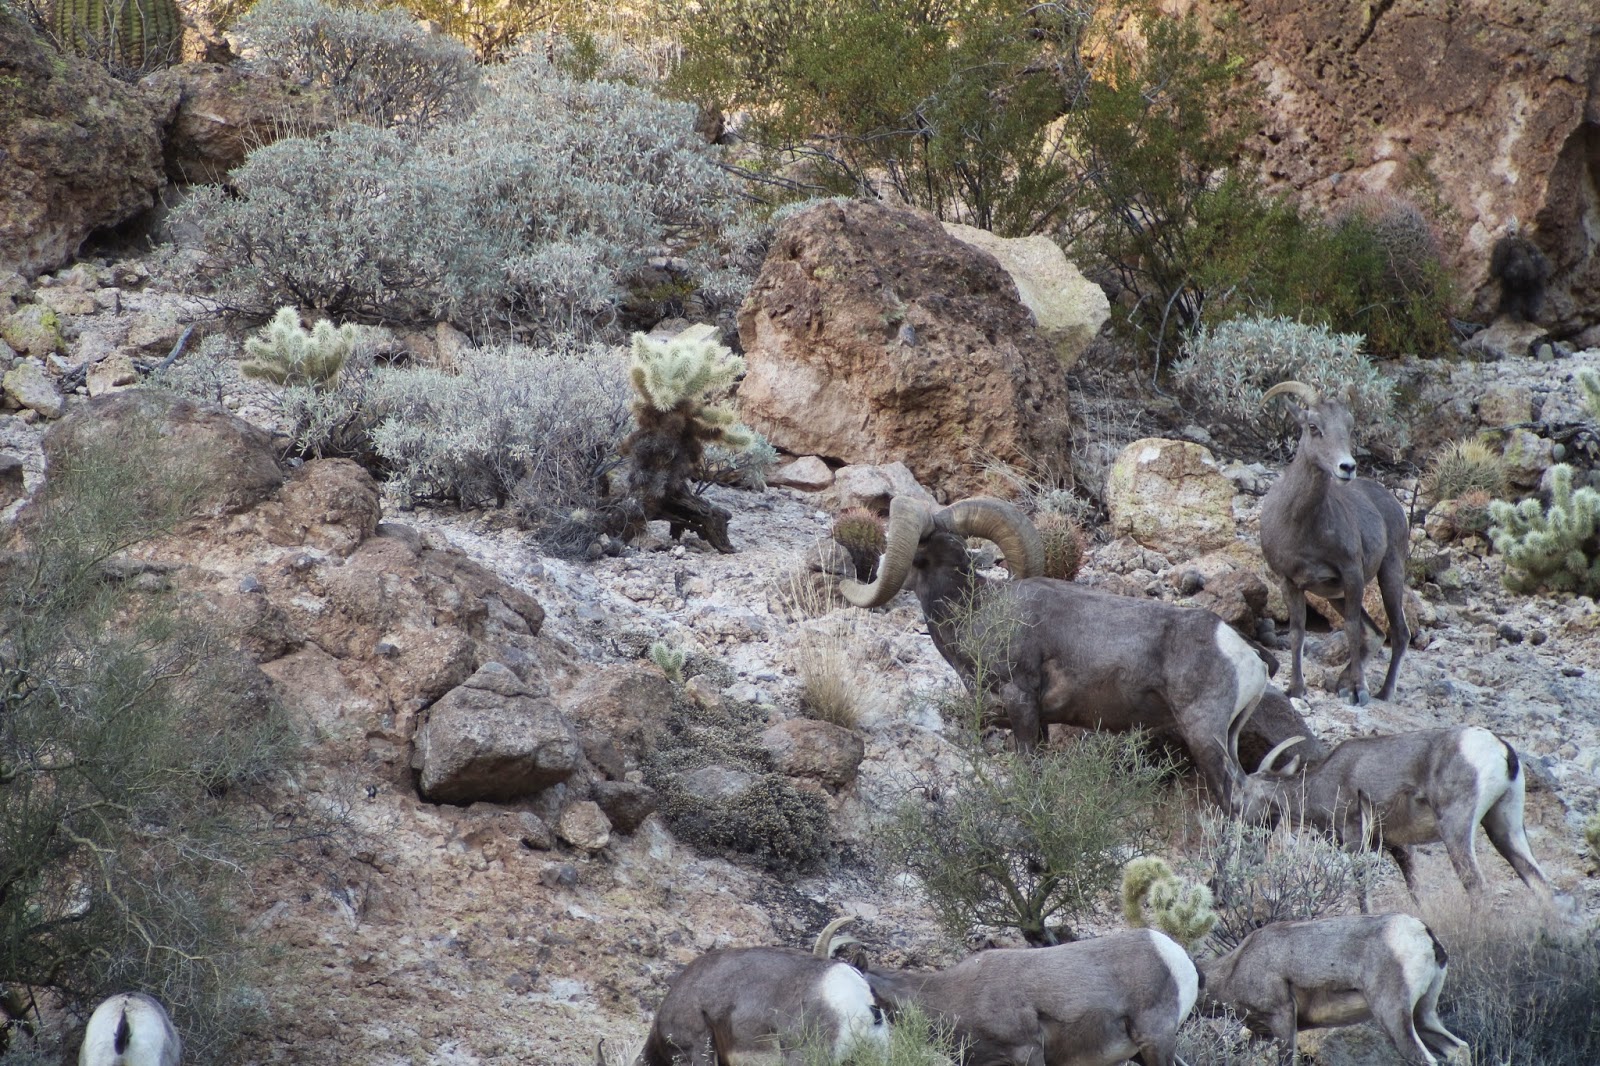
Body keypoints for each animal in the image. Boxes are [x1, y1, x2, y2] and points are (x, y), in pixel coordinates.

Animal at [1198, 914, 1468, 1066]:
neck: (1234, 968)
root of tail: (1422, 932)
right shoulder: (1259, 1033)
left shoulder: (1283, 1020)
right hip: (1423, 1016)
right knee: (1459, 1049)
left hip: (1393, 1018)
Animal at [1240, 726, 1552, 904]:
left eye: (1240, 797)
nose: (1245, 839)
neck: (1322, 783)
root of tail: (1501, 749)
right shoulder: (1401, 847)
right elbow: (1416, 893)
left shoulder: (1356, 841)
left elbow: (1363, 895)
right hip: (1506, 828)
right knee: (1540, 885)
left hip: (1456, 830)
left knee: (1476, 886)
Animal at [1258, 381, 1409, 707]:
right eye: (1313, 427)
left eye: (1349, 427)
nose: (1347, 467)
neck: (1302, 526)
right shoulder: (1290, 582)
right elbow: (1297, 634)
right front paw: (1296, 689)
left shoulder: (1352, 575)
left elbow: (1350, 629)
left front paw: (1359, 692)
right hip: (1334, 597)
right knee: (1376, 634)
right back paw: (1343, 683)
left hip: (1390, 573)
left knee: (1398, 633)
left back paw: (1381, 692)